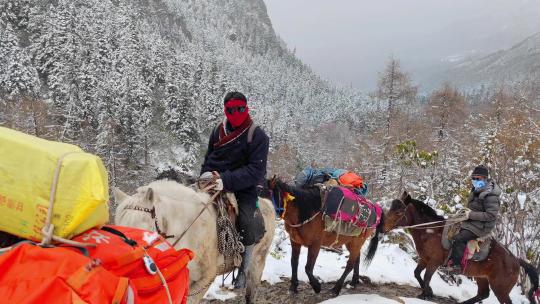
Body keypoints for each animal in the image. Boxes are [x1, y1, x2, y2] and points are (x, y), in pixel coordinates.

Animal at [384, 192, 540, 304]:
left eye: (398, 212)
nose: (384, 227)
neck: (431, 232)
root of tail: (516, 260)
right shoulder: (424, 259)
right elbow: (417, 273)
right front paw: (426, 292)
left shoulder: (434, 262)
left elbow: (427, 277)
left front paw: (427, 294)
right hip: (481, 277)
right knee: (482, 294)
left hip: (500, 289)